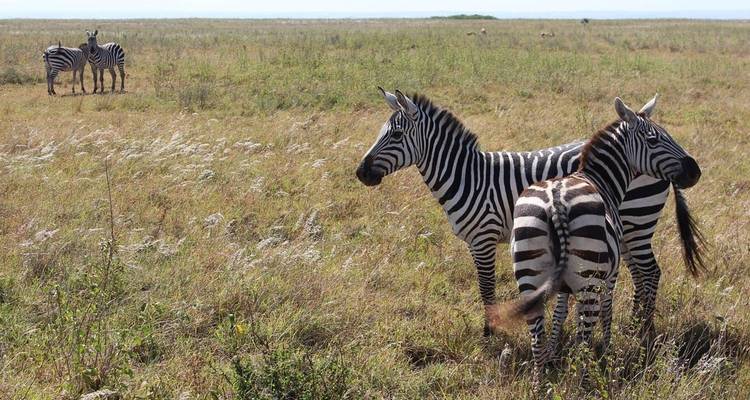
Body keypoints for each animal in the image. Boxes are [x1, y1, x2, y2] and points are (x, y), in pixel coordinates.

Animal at [355, 89, 705, 336]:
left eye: (395, 135)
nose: (361, 173)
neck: (468, 176)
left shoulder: (483, 239)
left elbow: (486, 287)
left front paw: (489, 333)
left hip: (637, 220)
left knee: (649, 272)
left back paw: (642, 331)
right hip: (626, 228)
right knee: (641, 273)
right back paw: (635, 327)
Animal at [486, 95, 700, 384]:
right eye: (654, 140)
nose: (695, 171)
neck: (600, 179)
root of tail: (555, 202)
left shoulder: (563, 281)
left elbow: (560, 312)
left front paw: (554, 351)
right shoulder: (610, 275)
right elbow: (607, 311)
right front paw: (607, 349)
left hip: (529, 271)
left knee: (537, 336)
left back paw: (540, 382)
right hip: (589, 279)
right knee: (586, 334)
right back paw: (584, 378)